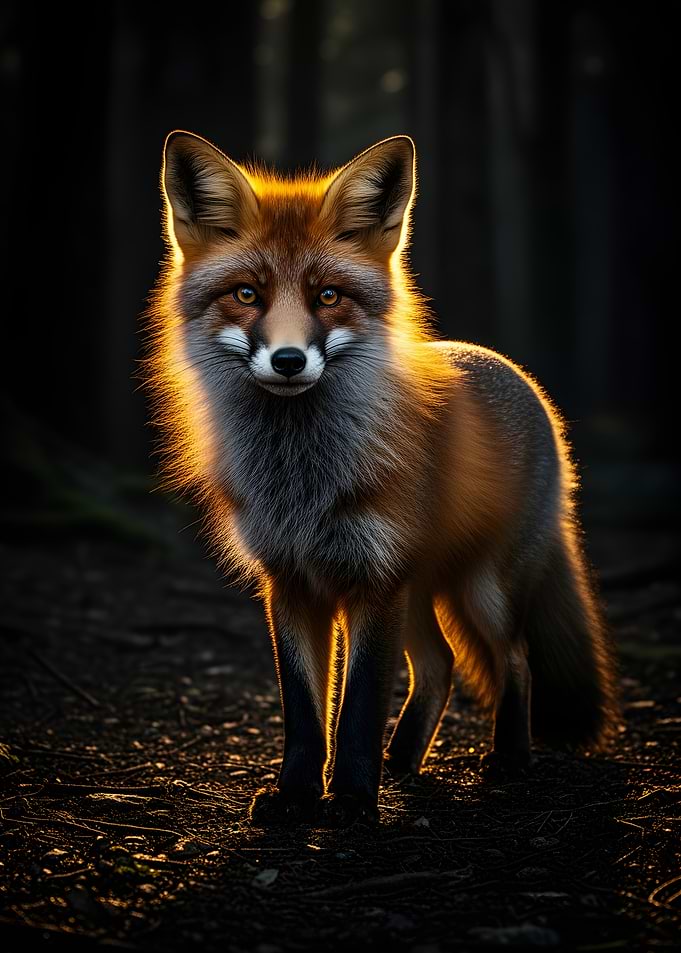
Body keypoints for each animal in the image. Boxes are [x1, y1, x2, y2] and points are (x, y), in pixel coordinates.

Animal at [146, 130, 618, 825]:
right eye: (248, 294)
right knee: (439, 666)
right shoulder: (291, 582)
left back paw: (508, 758)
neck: (302, 482)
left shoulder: (373, 580)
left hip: (481, 587)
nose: (289, 360)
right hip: (419, 592)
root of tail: (512, 372)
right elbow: (306, 713)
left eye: (328, 296)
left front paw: (350, 800)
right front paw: (297, 795)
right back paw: (404, 760)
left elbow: (360, 707)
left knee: (516, 659)